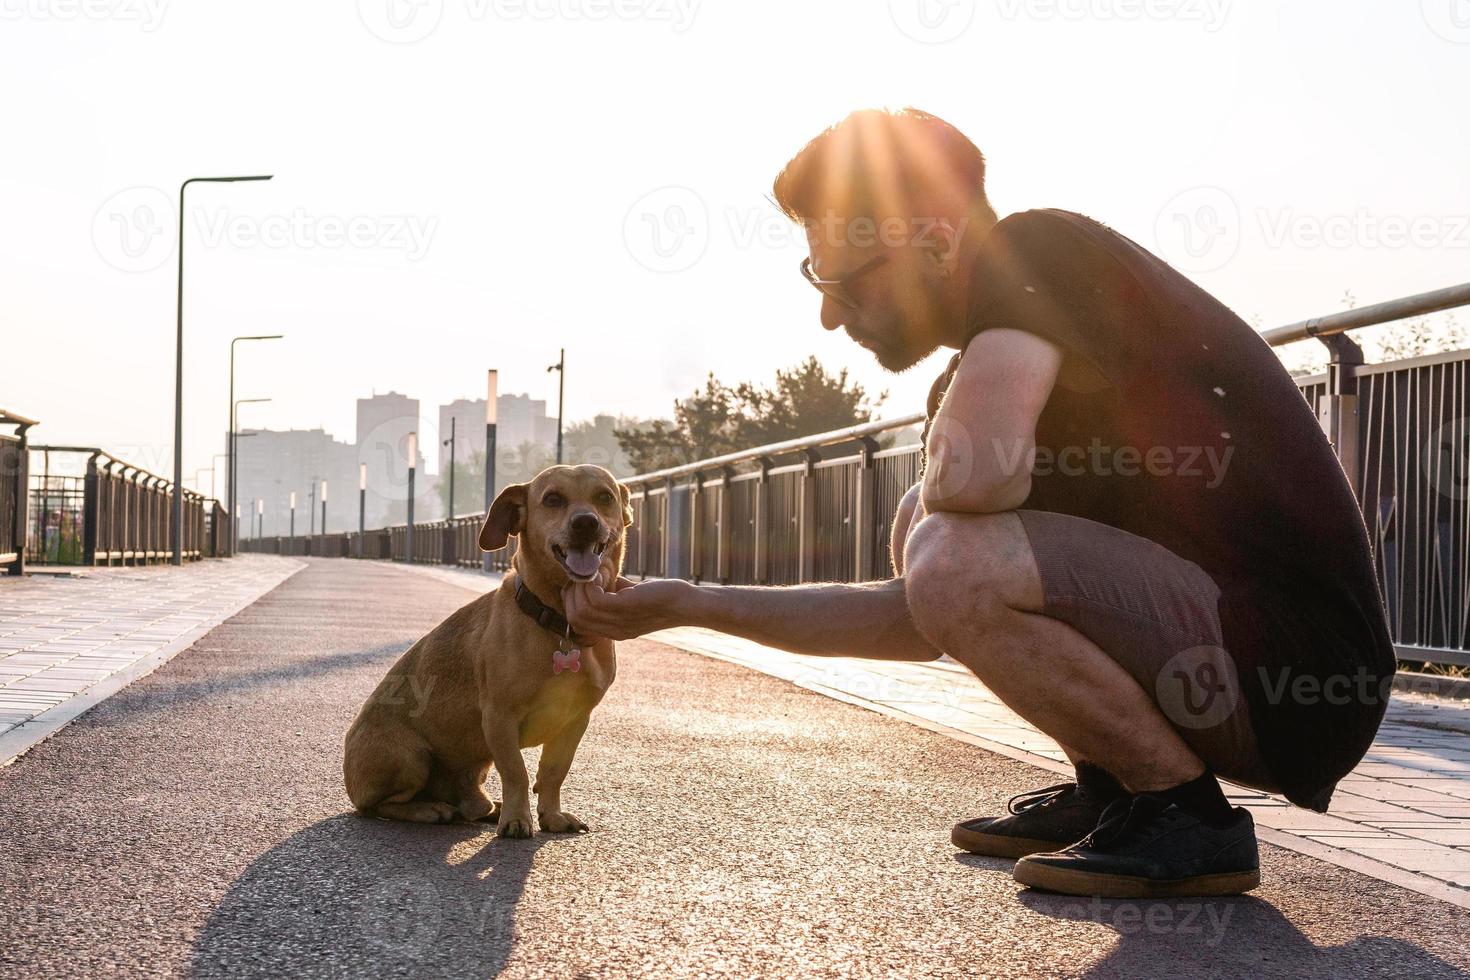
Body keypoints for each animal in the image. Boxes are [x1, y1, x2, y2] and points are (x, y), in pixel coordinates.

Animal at [343, 467, 632, 834]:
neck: (558, 623)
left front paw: (551, 816)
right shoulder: (499, 717)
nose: (586, 522)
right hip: (411, 758)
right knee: (378, 806)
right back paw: (430, 809)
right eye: (552, 499)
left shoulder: (575, 720)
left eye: (605, 497)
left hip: (476, 764)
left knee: (469, 802)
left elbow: (554, 772)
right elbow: (517, 773)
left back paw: (484, 807)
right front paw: (517, 819)